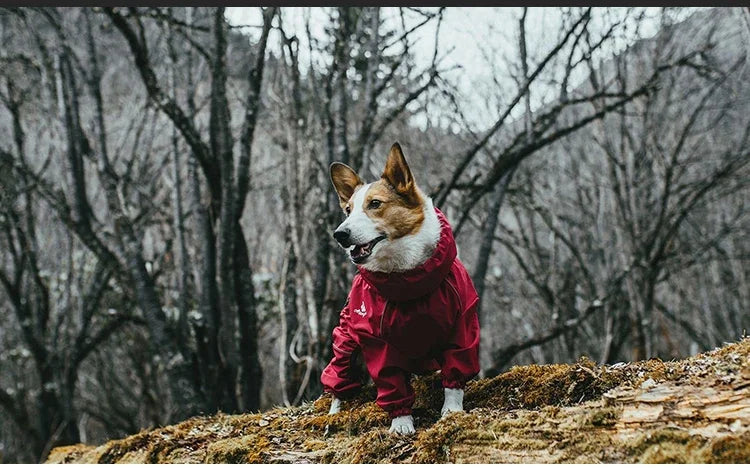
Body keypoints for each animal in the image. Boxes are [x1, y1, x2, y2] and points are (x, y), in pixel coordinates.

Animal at [320, 143, 478, 436]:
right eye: (348, 210)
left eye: (375, 204)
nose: (339, 234)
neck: (407, 277)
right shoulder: (378, 343)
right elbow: (392, 381)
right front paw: (401, 422)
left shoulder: (462, 326)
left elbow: (454, 376)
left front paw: (452, 410)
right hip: (345, 343)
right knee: (339, 377)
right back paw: (334, 412)